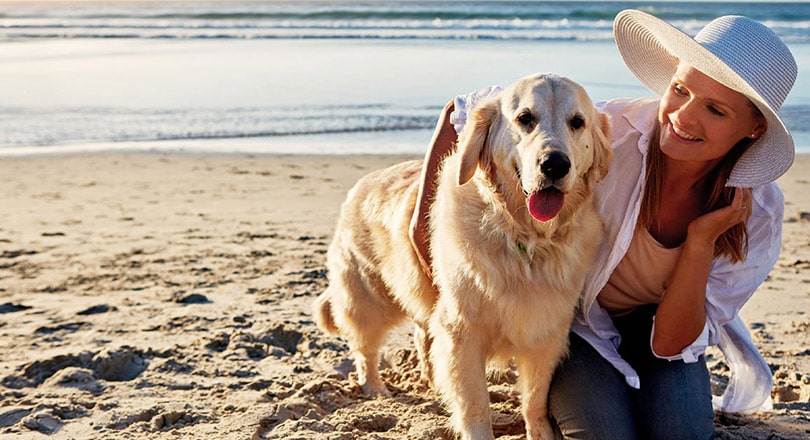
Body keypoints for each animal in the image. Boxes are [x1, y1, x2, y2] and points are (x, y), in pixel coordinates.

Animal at [312, 73, 608, 440]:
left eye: (577, 122)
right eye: (525, 118)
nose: (554, 164)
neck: (524, 240)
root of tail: (362, 183)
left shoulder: (546, 335)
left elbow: (534, 402)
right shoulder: (462, 333)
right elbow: (475, 406)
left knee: (421, 333)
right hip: (368, 298)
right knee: (365, 346)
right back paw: (375, 388)